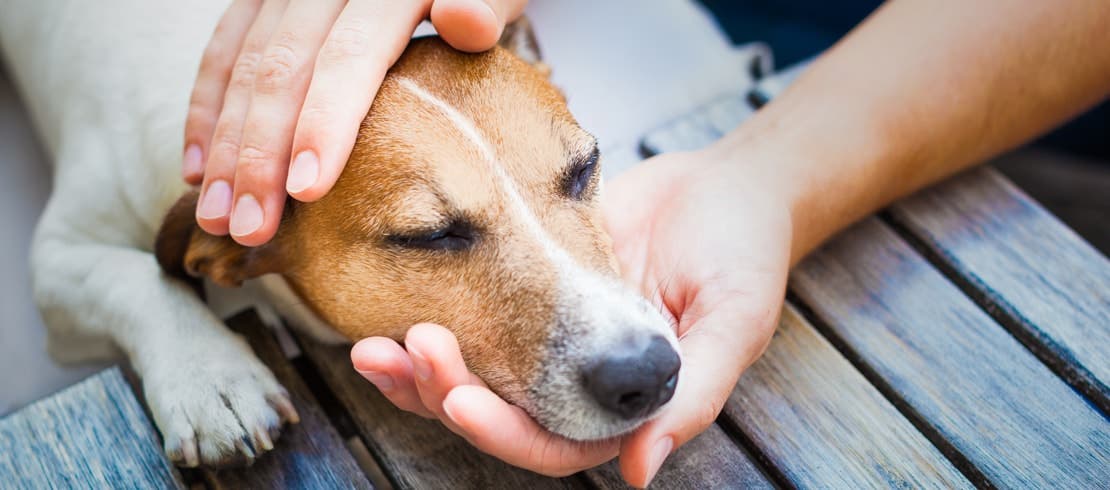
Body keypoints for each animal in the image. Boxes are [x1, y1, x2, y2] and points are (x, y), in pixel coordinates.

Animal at [0, 0, 741, 466]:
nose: (647, 373)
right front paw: (210, 378)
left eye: (585, 167)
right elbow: (133, 277)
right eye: (430, 236)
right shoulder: (59, 258)